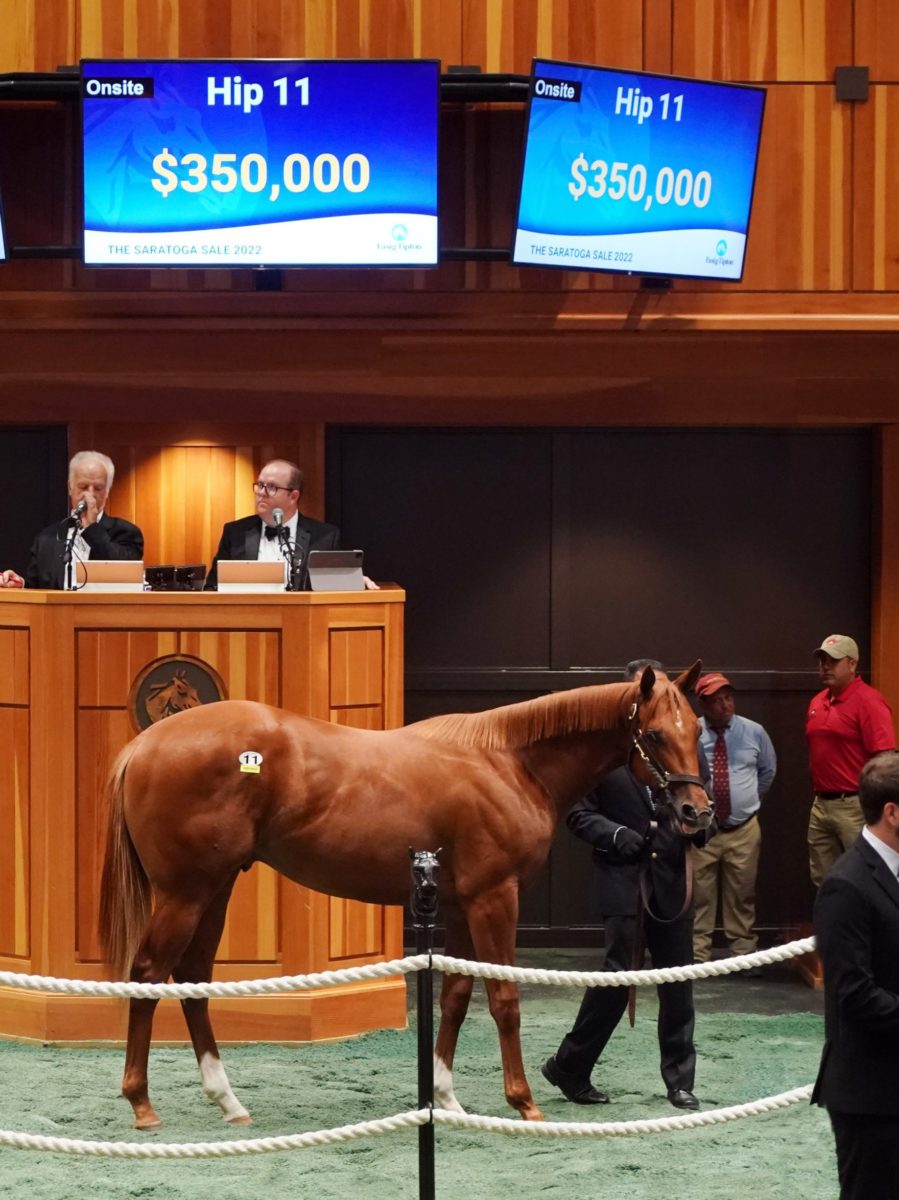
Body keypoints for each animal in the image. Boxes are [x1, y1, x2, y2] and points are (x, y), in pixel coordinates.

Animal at [96, 667, 700, 1123]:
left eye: (694, 729)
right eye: (656, 734)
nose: (698, 812)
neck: (509, 763)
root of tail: (143, 744)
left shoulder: (460, 906)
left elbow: (456, 997)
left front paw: (445, 1098)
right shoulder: (494, 899)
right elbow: (503, 999)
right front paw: (524, 1102)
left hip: (214, 889)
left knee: (194, 979)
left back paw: (228, 1101)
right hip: (185, 894)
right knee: (148, 975)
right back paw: (141, 1103)